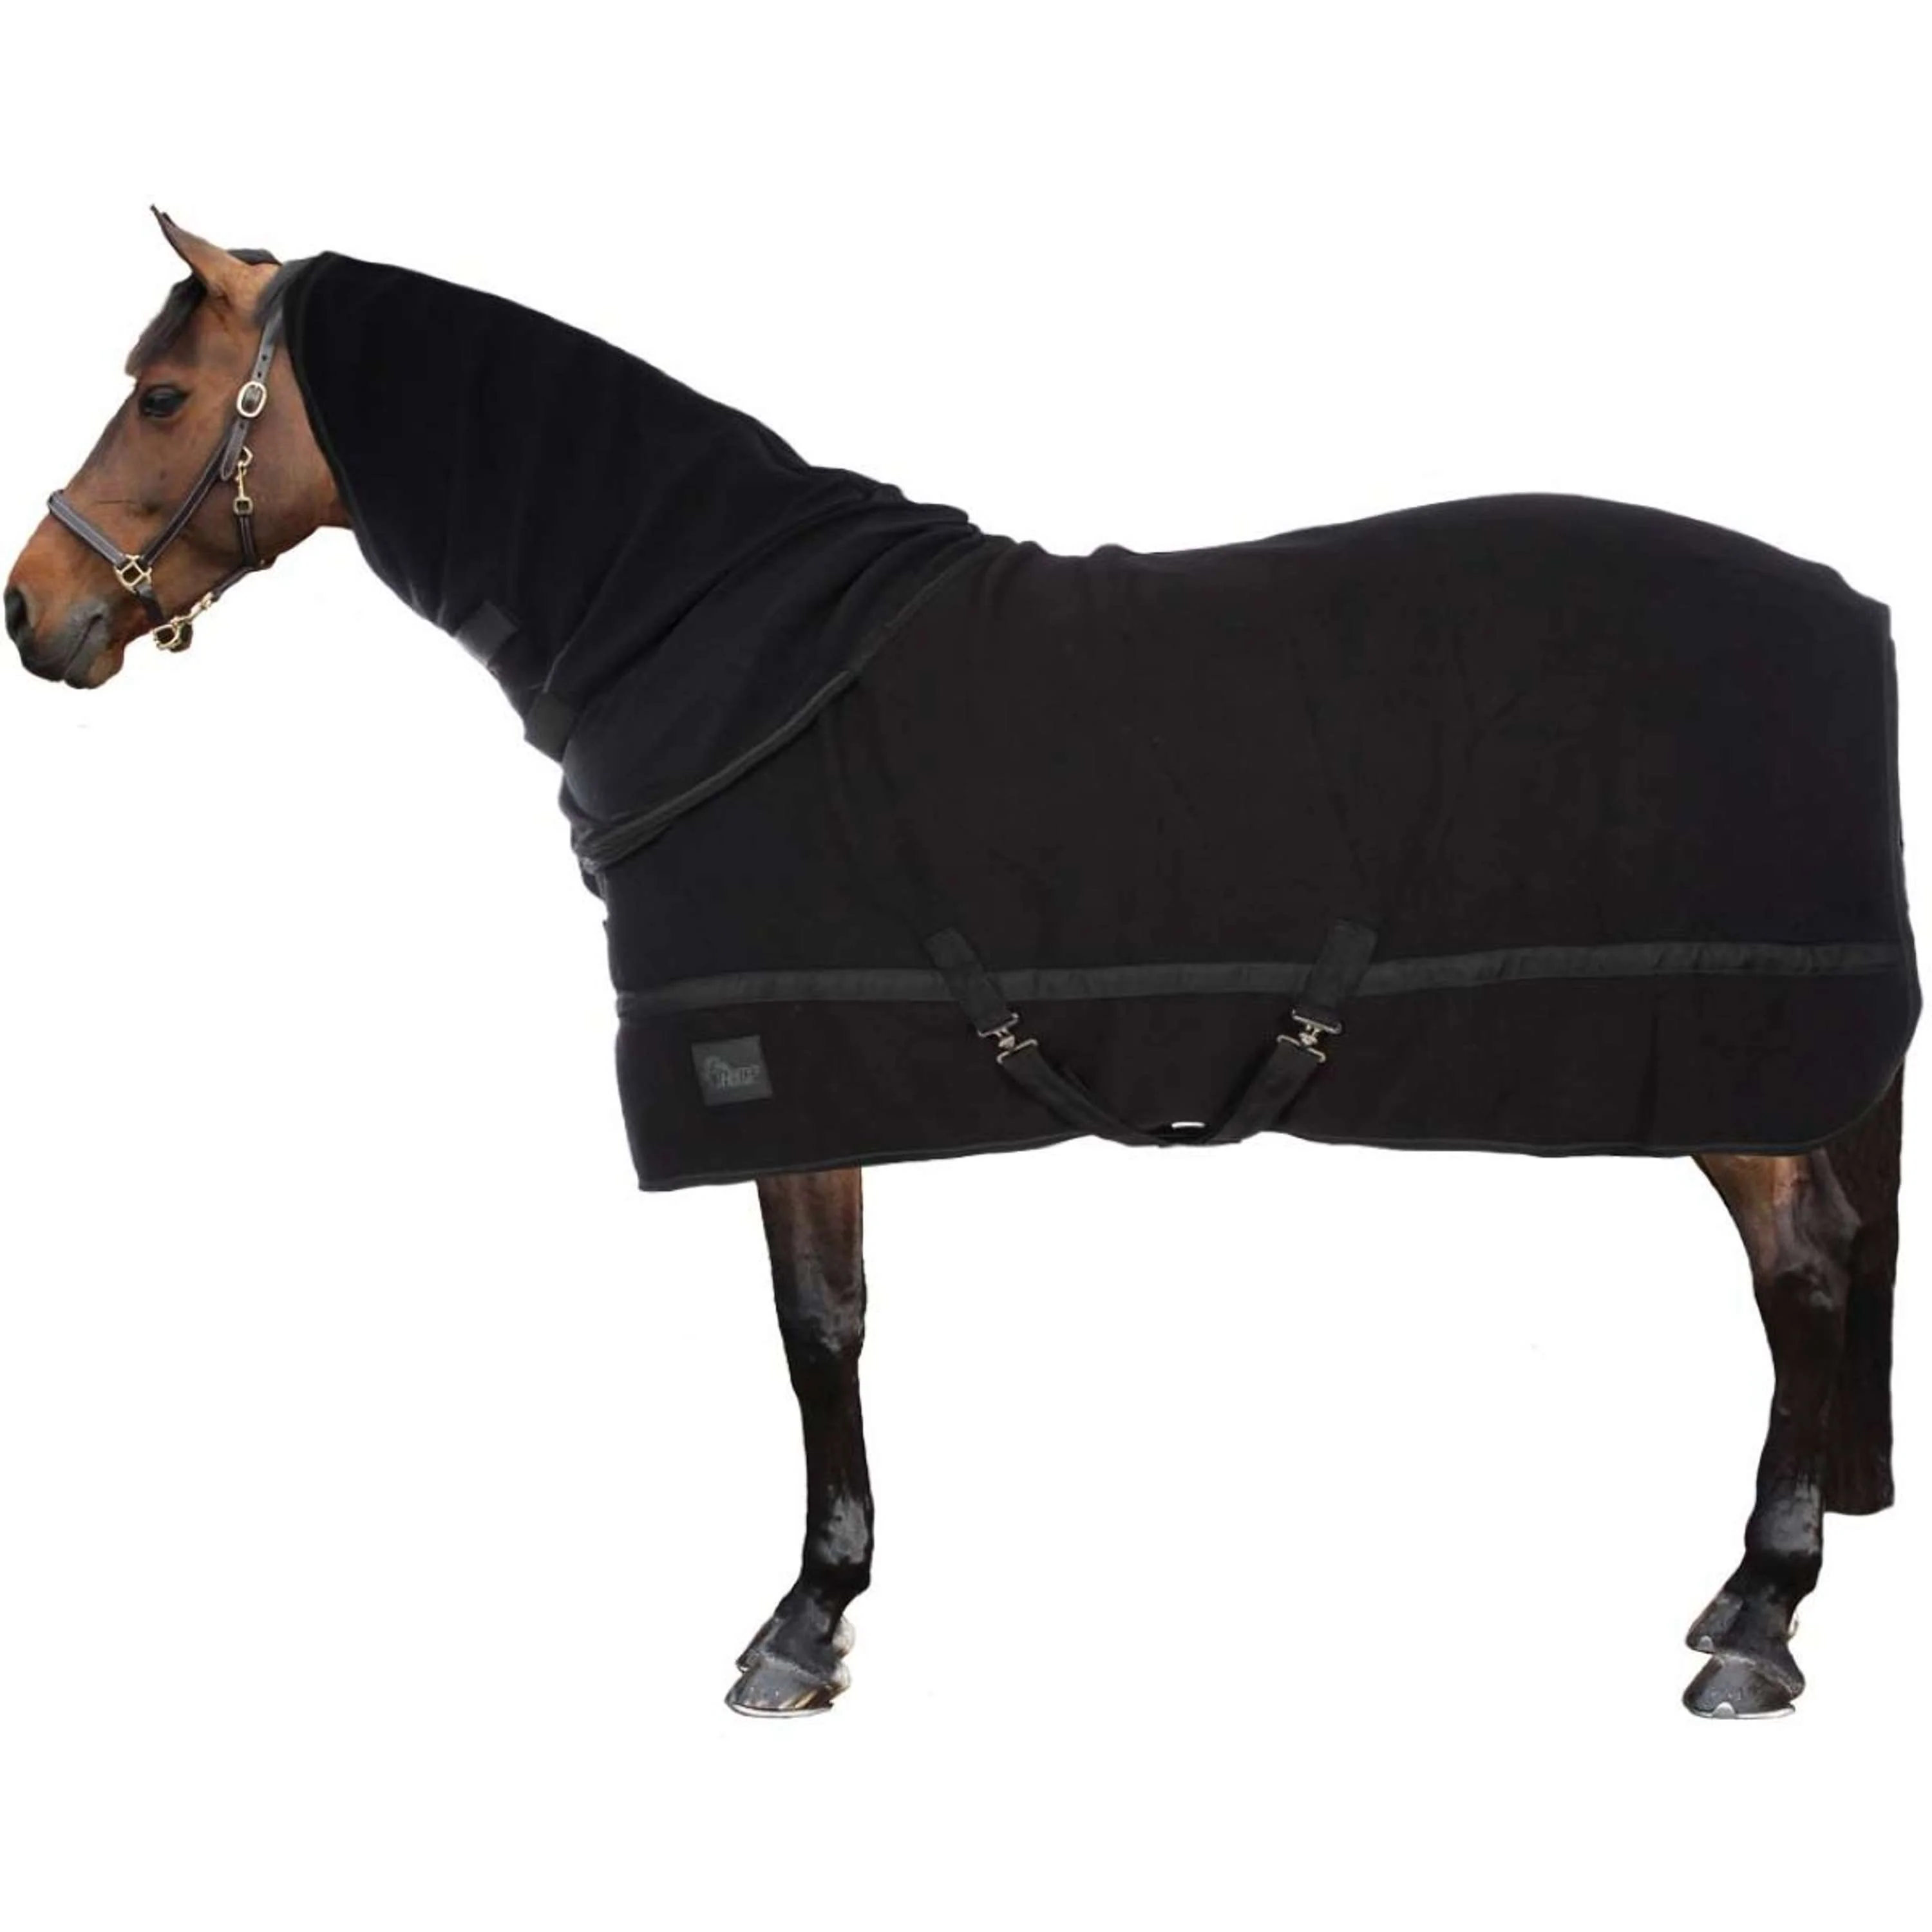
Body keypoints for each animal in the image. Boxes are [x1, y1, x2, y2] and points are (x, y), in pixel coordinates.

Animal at [6, 212, 1912, 1720]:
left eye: (162, 396)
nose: (35, 612)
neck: (716, 634)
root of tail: (1842, 604)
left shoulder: (775, 1070)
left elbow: (816, 1328)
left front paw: (803, 1621)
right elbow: (834, 1318)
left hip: (1731, 1056)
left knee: (1805, 1268)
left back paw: (1758, 1619)